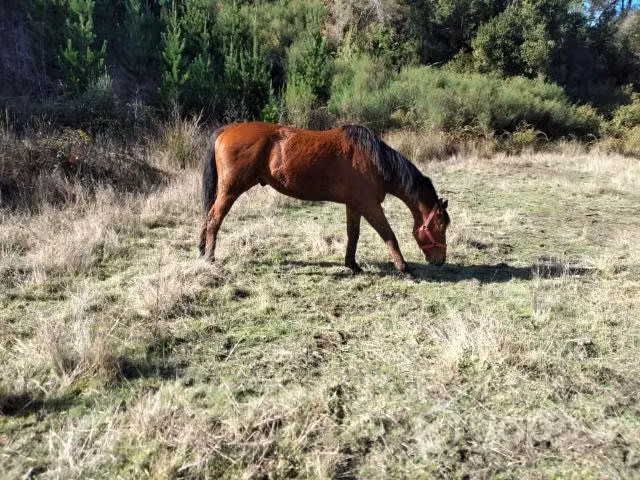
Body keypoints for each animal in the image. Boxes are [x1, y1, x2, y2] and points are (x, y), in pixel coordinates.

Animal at [199, 122, 450, 274]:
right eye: (441, 224)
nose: (441, 261)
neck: (374, 160)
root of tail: (225, 130)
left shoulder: (355, 205)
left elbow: (353, 235)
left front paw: (352, 264)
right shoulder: (370, 206)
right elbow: (388, 235)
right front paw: (404, 267)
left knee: (207, 218)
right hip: (230, 191)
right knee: (214, 220)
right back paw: (210, 258)